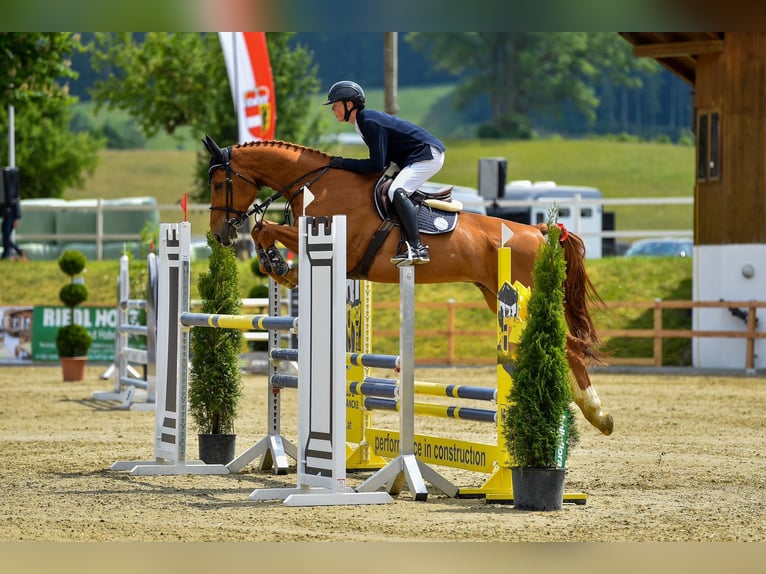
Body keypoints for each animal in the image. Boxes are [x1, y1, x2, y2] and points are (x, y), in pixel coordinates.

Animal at [206, 138, 616, 436]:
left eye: (220, 183)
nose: (220, 234)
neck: (316, 183)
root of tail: (541, 231)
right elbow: (264, 230)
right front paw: (278, 268)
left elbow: (265, 228)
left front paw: (277, 265)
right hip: (493, 295)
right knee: (565, 345)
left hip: (526, 298)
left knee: (571, 345)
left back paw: (597, 414)